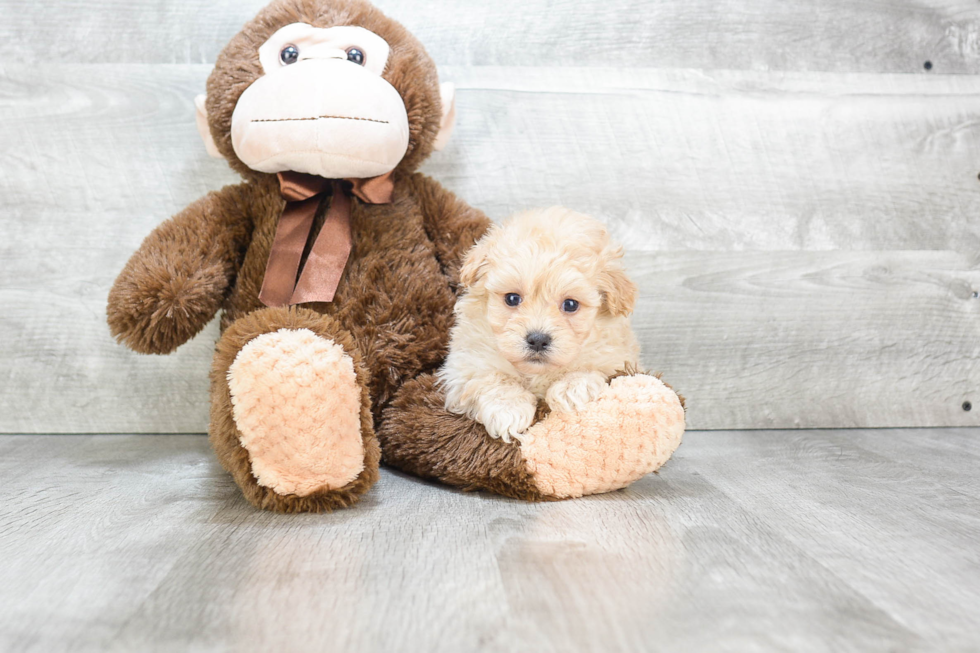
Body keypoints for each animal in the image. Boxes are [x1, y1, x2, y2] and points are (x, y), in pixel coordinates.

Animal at [438, 208, 640, 444]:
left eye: (570, 304)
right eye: (512, 298)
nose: (538, 340)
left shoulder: (619, 360)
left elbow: (590, 368)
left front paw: (571, 388)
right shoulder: (464, 366)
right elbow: (491, 376)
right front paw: (508, 409)